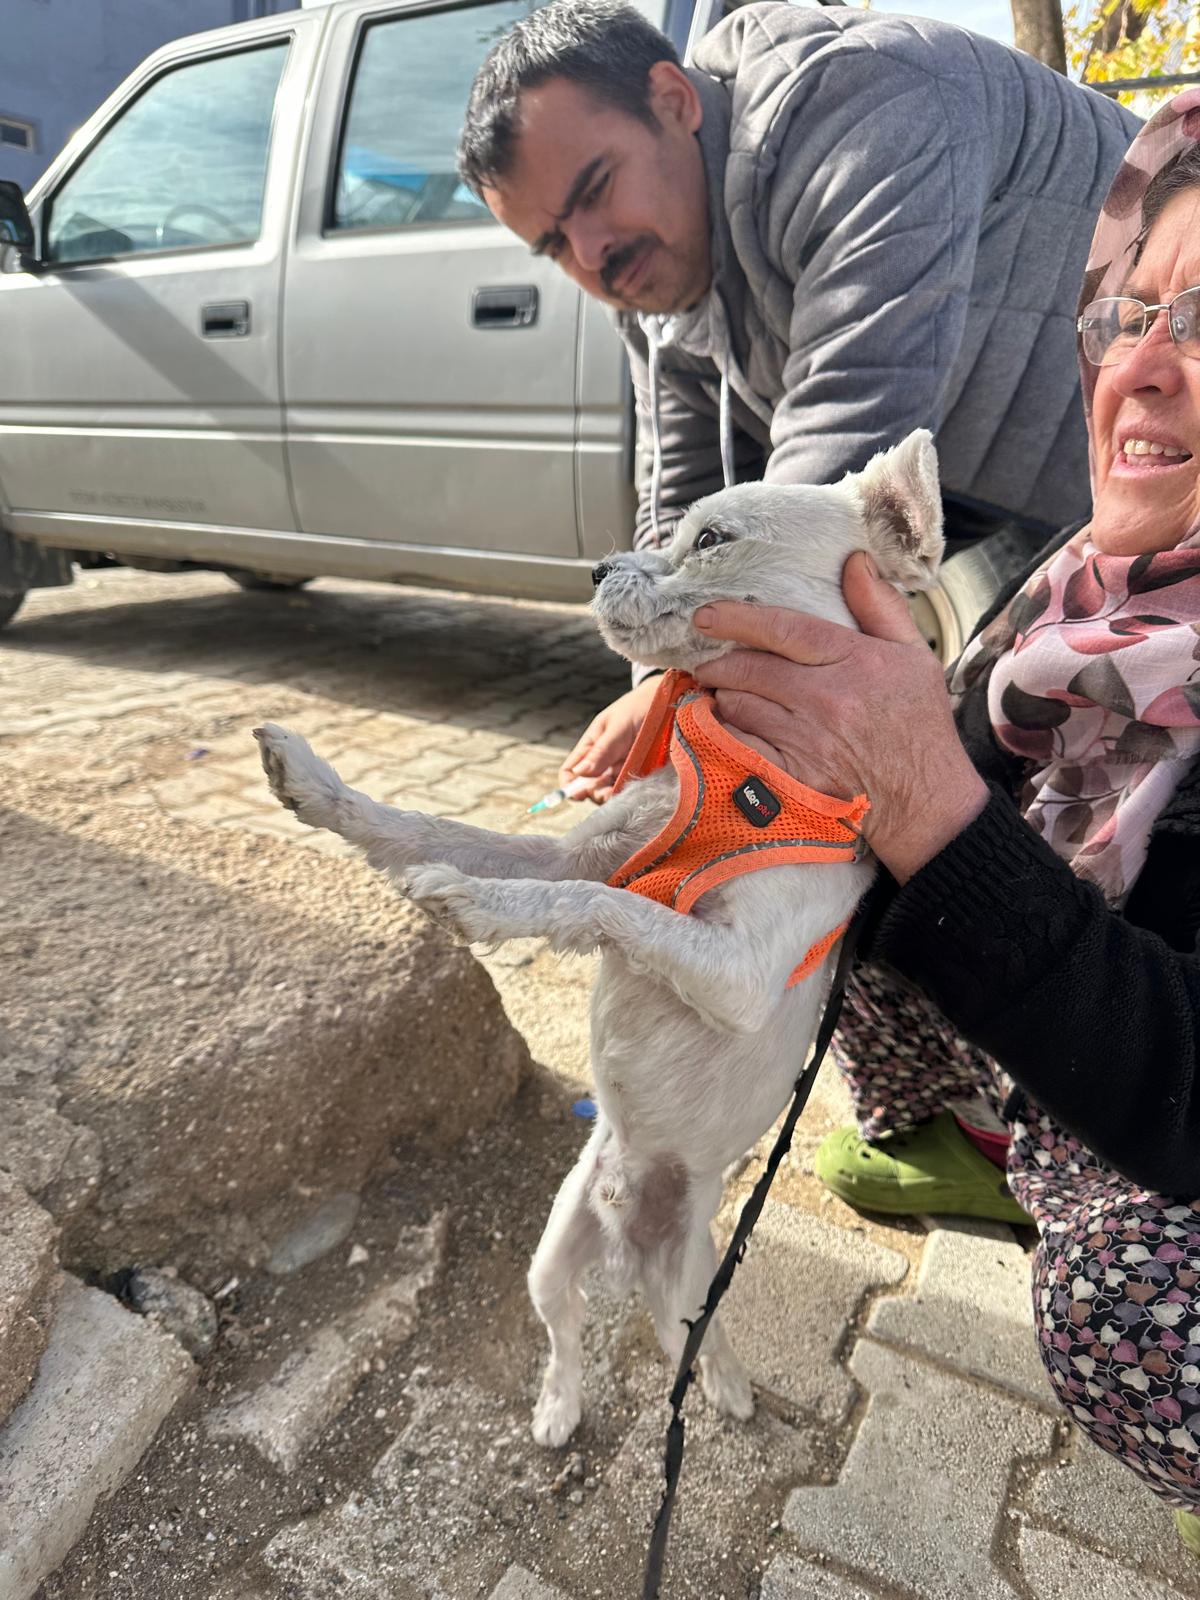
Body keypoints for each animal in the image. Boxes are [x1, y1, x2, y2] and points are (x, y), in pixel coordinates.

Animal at [256, 425, 947, 1452]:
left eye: (711, 540)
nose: (596, 567)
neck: (749, 763)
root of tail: (636, 1236)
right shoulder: (577, 853)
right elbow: (434, 832)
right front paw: (316, 785)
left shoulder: (736, 974)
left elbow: (606, 907)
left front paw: (477, 904)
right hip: (552, 1253)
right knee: (571, 1335)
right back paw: (559, 1408)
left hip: (698, 1280)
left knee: (691, 1337)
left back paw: (727, 1388)